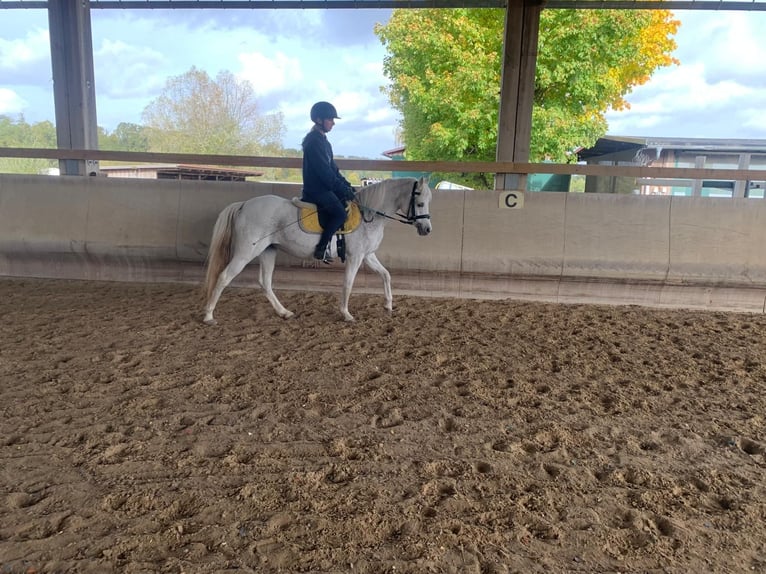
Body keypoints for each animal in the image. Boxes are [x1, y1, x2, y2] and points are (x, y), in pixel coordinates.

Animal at [201, 176, 433, 323]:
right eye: (420, 203)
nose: (427, 229)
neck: (369, 215)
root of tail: (244, 205)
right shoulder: (355, 257)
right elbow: (348, 284)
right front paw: (346, 314)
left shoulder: (368, 256)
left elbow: (386, 275)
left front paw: (388, 305)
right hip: (245, 252)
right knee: (224, 277)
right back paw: (209, 316)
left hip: (268, 251)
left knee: (265, 283)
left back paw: (284, 313)